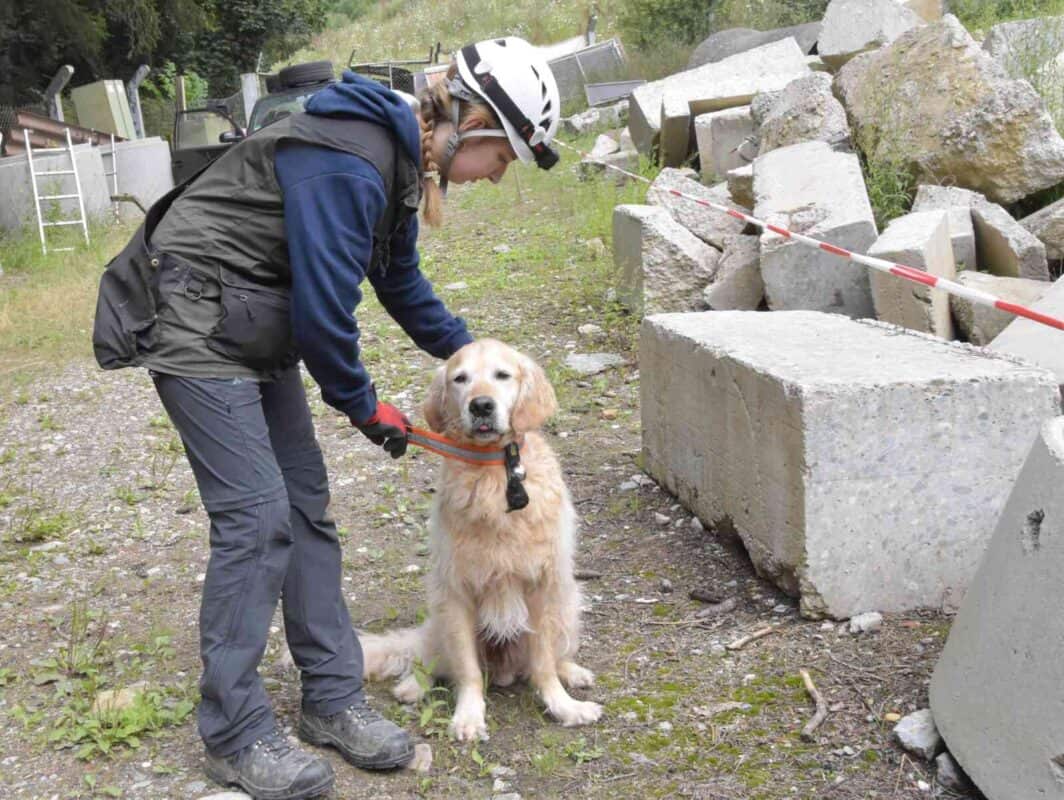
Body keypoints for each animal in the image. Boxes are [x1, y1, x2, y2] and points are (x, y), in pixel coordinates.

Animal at [361, 336, 604, 736]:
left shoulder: (543, 584)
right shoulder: (456, 591)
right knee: (433, 659)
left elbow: (543, 663)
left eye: (502, 375)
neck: (495, 471)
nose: (481, 405)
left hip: (568, 601)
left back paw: (573, 671)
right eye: (460, 378)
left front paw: (563, 706)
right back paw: (413, 685)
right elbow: (467, 671)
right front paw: (469, 717)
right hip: (440, 615)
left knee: (551, 656)